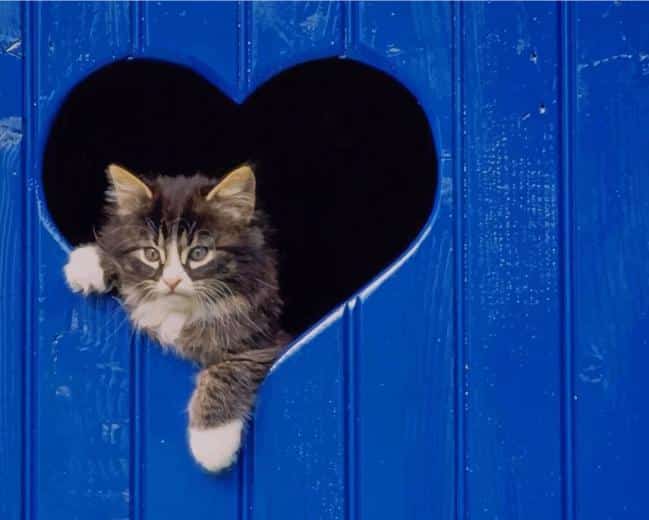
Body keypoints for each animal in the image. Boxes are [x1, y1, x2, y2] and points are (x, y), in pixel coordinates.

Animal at [62, 165, 288, 474]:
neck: (180, 312)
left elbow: (229, 369)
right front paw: (90, 262)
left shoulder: (265, 340)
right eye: (151, 253)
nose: (171, 281)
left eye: (199, 253)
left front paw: (212, 441)